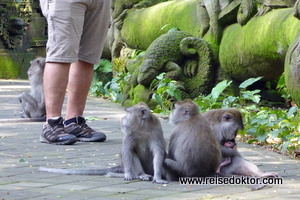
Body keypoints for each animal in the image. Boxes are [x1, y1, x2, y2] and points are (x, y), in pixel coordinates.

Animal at [39, 103, 169, 184]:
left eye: (128, 113)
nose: (122, 118)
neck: (142, 128)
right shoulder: (129, 133)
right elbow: (127, 151)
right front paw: (128, 174)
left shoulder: (156, 130)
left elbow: (158, 153)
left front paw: (158, 177)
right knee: (132, 154)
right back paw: (141, 174)